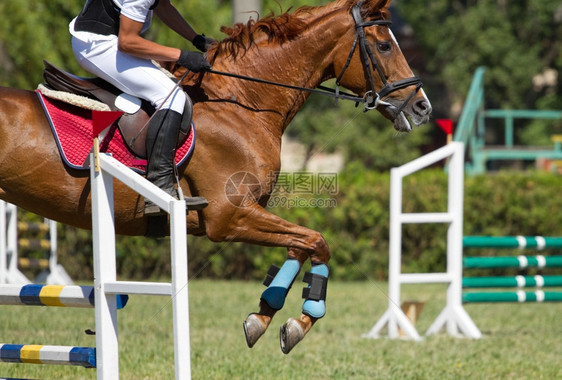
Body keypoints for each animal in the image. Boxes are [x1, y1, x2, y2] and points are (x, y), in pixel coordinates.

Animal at [0, 0, 428, 354]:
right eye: (385, 46)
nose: (422, 107)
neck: (244, 103)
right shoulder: (229, 218)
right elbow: (317, 242)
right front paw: (300, 320)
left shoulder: (249, 213)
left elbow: (301, 245)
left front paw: (264, 315)